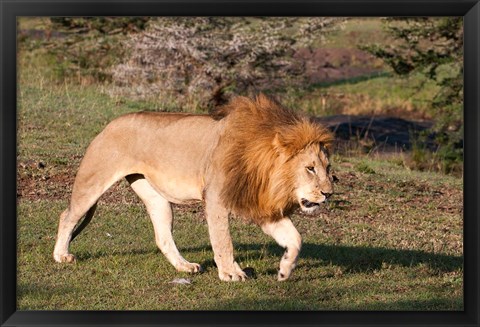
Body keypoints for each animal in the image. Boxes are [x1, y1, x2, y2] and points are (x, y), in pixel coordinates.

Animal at [53, 94, 334, 282]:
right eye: (310, 168)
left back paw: (184, 267)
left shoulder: (260, 205)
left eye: (328, 168)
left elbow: (295, 238)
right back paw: (61, 256)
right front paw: (230, 273)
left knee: (162, 236)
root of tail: (110, 124)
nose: (328, 193)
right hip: (93, 180)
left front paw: (285, 270)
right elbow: (223, 240)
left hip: (156, 198)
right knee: (67, 216)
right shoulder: (216, 198)